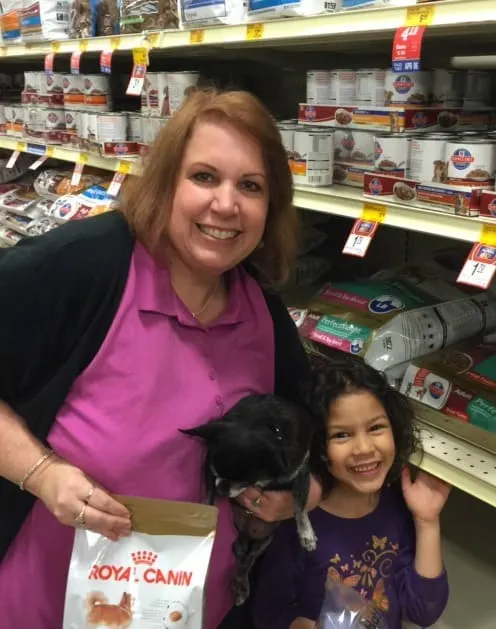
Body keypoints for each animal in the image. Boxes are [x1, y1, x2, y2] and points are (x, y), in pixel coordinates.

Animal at [180, 394, 316, 604]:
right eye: (216, 472)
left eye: (244, 480)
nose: (221, 490)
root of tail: (246, 537)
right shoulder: (208, 468)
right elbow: (207, 496)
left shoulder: (299, 472)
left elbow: (299, 506)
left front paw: (306, 534)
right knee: (241, 558)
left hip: (264, 542)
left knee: (247, 561)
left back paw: (242, 585)